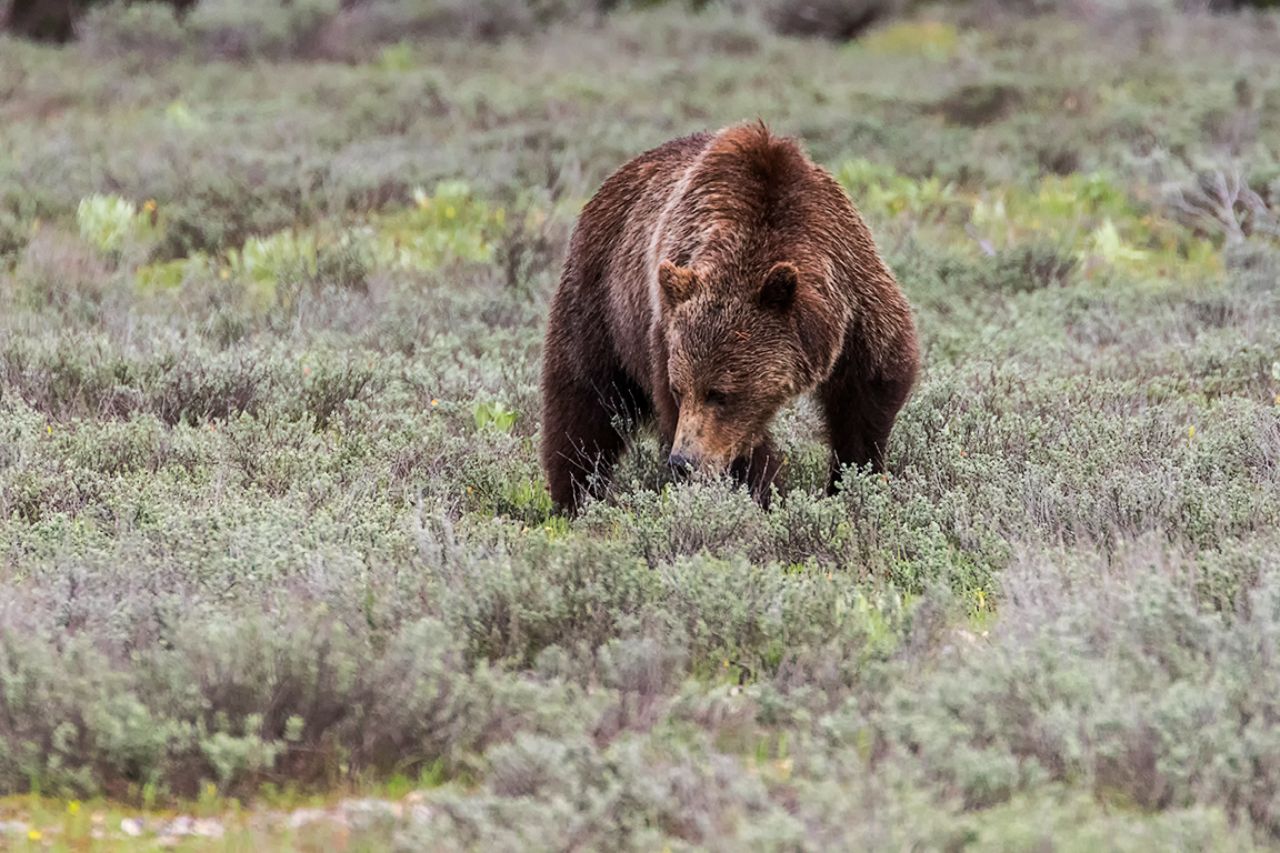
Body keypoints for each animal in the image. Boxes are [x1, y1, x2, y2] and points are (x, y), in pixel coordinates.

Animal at [540, 121, 919, 513]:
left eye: (719, 393)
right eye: (679, 389)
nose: (682, 461)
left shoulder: (854, 297)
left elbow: (870, 388)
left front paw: (854, 481)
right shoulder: (664, 331)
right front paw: (763, 491)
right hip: (600, 302)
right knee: (583, 402)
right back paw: (575, 498)